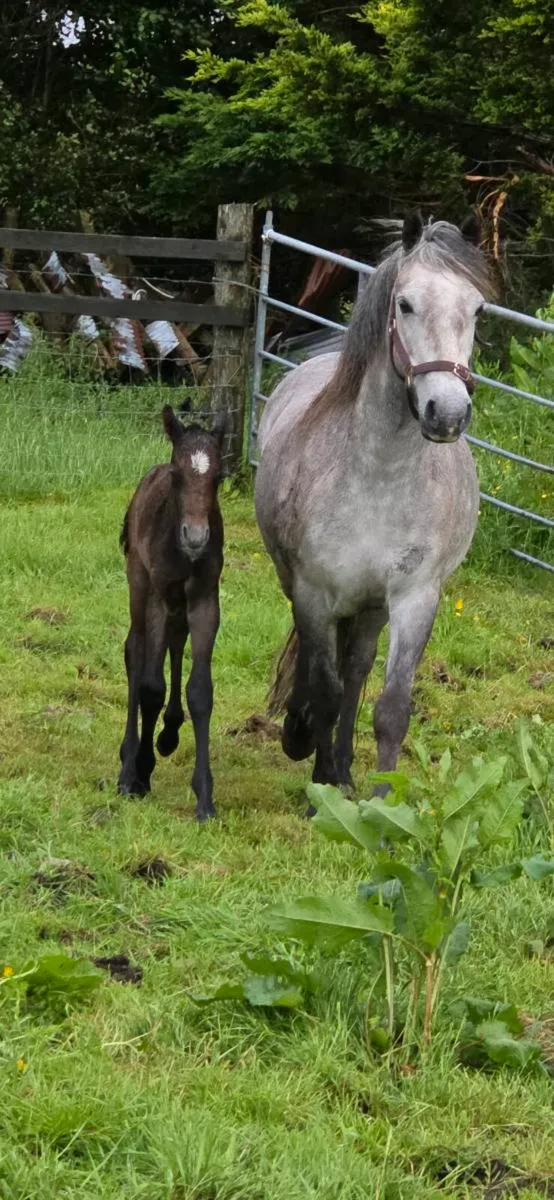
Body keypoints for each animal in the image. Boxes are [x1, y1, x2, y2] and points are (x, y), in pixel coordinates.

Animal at [118, 406, 224, 821]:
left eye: (219, 477)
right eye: (178, 475)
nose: (195, 537)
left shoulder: (205, 600)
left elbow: (200, 691)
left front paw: (205, 798)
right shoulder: (158, 597)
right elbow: (150, 687)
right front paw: (139, 773)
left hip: (179, 605)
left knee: (175, 645)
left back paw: (168, 733)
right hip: (138, 581)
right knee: (135, 651)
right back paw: (128, 761)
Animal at [255, 213, 493, 800]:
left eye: (477, 309)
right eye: (404, 304)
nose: (446, 414)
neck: (379, 478)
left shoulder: (414, 598)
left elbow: (390, 708)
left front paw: (383, 802)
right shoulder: (313, 594)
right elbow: (323, 690)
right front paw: (317, 780)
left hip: (370, 607)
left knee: (357, 668)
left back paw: (342, 766)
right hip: (305, 587)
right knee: (324, 671)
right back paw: (307, 743)